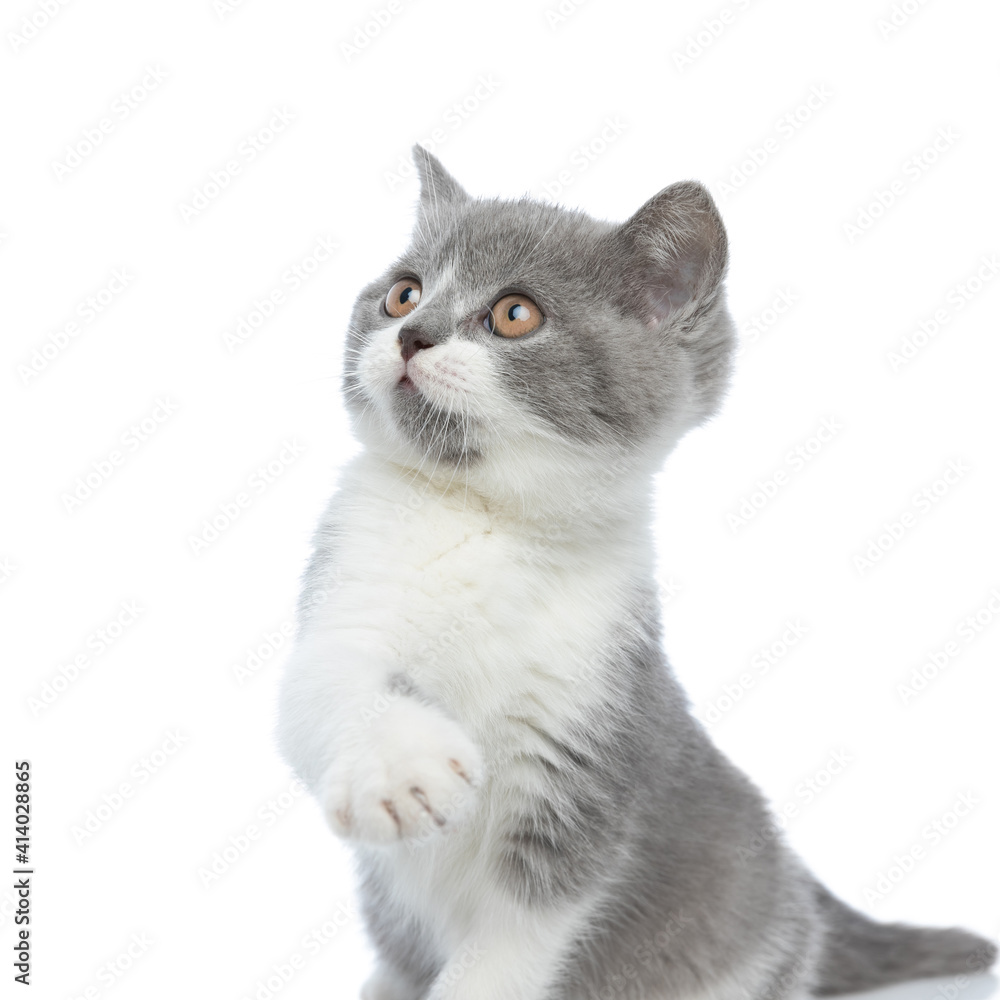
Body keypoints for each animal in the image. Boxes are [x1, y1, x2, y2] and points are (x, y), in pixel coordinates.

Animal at [278, 148, 996, 1000]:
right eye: (403, 292)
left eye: (514, 315)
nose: (413, 335)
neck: (489, 519)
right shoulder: (346, 594)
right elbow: (328, 681)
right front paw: (400, 770)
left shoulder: (587, 755)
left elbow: (516, 942)